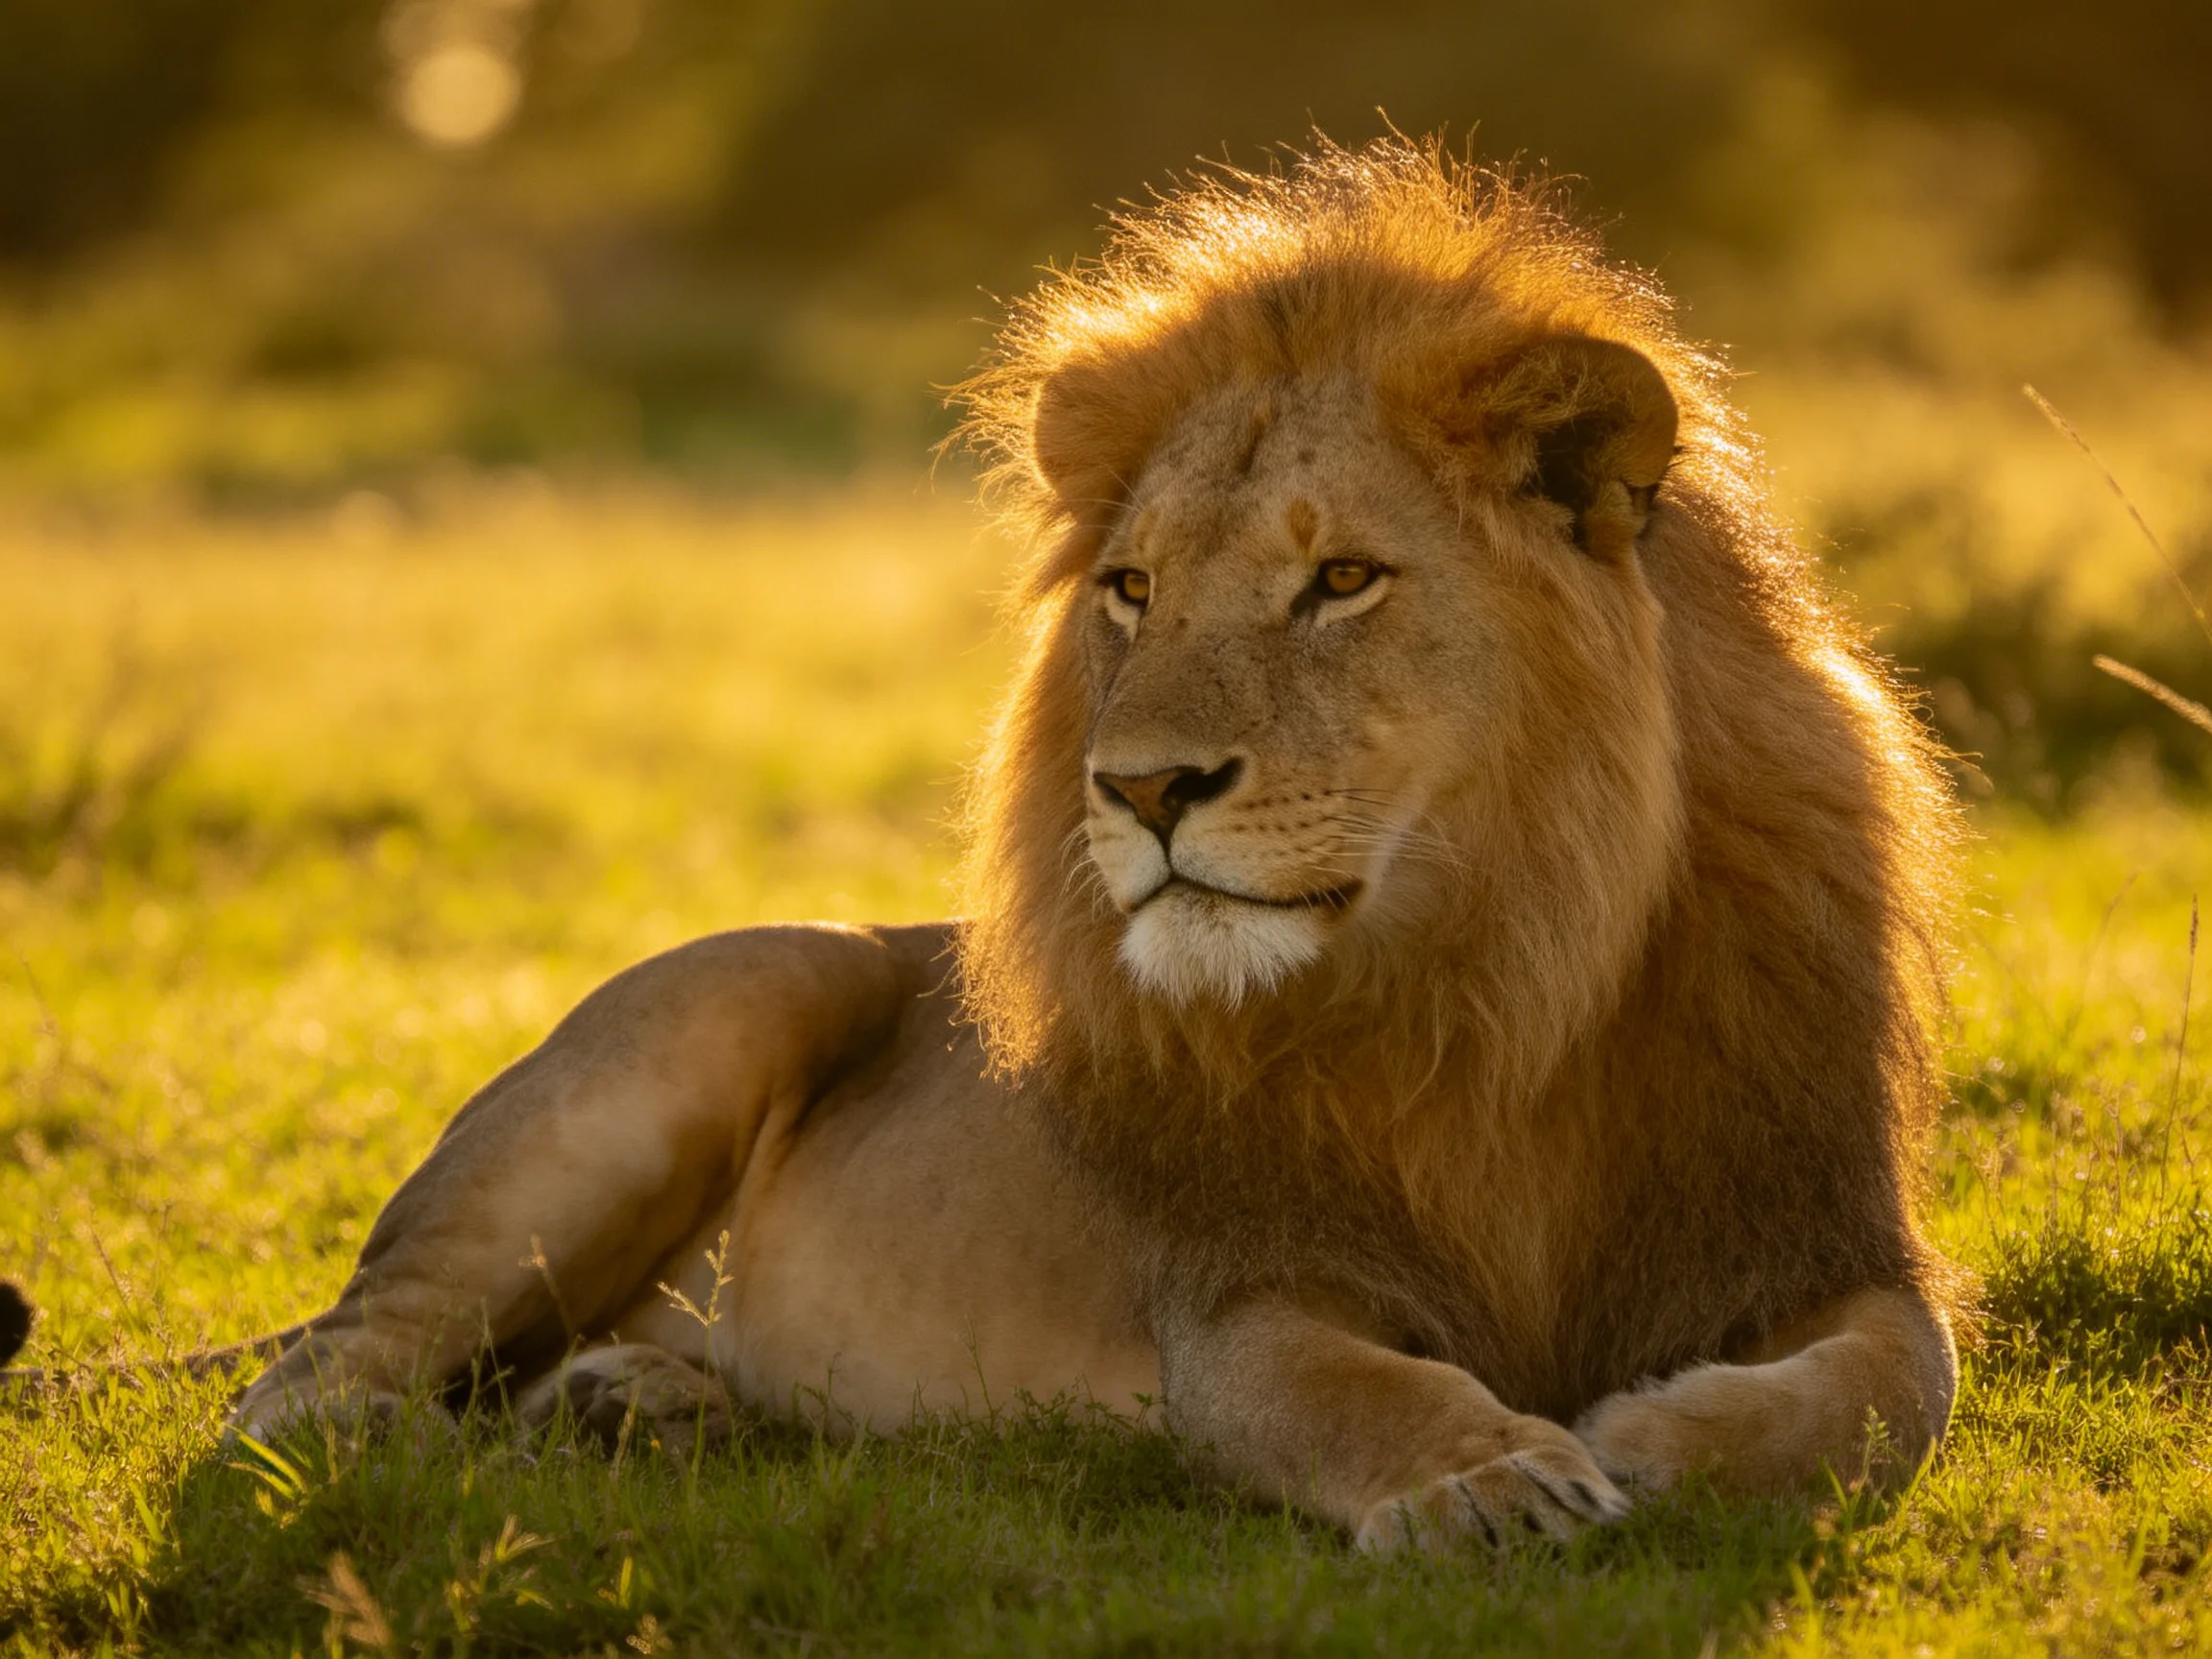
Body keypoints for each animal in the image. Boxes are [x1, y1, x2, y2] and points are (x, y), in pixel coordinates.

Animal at [4, 136, 1961, 1550]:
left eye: (1342, 580)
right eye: (1132, 590)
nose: (1143, 789)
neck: (1494, 980)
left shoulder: (1813, 1224)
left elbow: (1898, 1380)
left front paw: (1664, 1430)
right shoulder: (1232, 1294)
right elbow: (1337, 1393)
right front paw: (1492, 1475)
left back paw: (641, 1407)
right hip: (708, 1014)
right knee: (303, 1393)